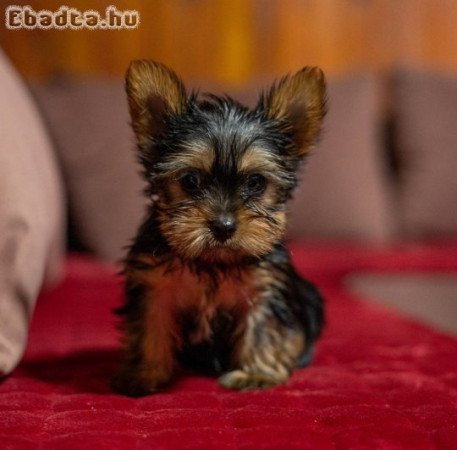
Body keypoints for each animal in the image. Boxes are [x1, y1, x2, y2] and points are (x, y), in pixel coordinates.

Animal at [114, 59, 328, 398]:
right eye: (190, 180)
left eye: (256, 182)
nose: (223, 226)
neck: (213, 260)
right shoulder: (153, 285)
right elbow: (150, 324)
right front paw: (144, 373)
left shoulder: (264, 287)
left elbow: (262, 327)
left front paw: (256, 373)